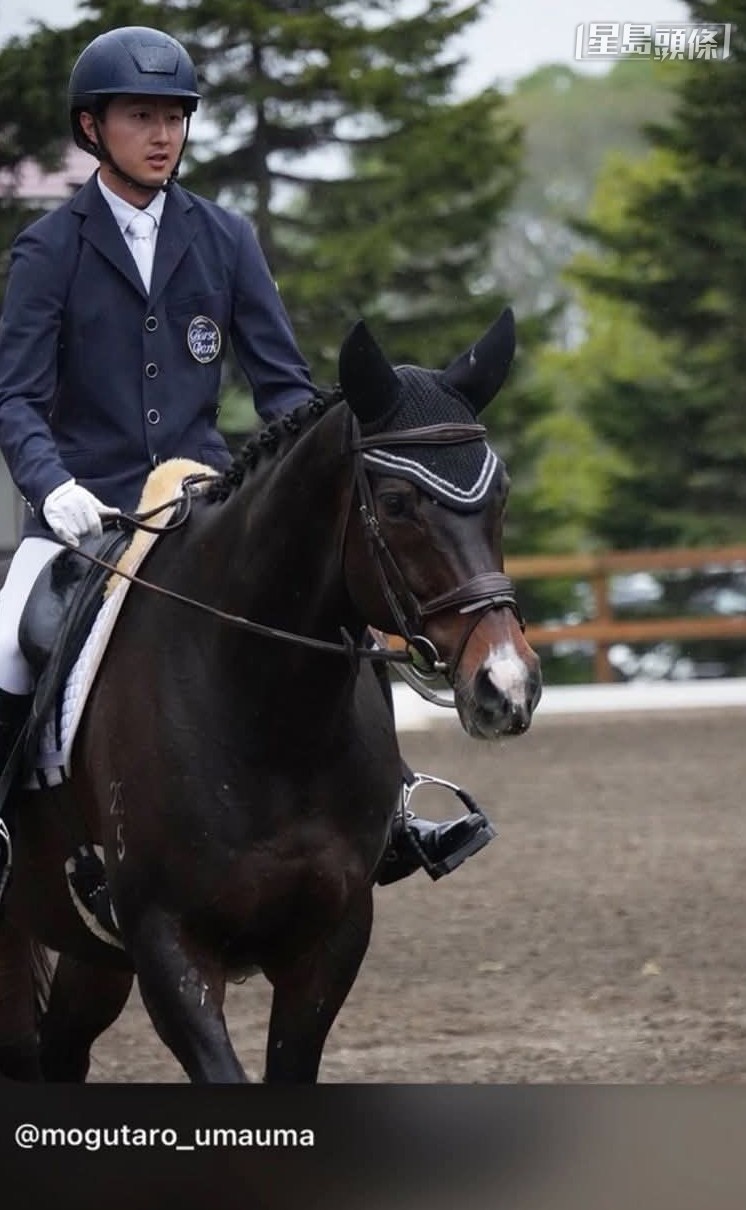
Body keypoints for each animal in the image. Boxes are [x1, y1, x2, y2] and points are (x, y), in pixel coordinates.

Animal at [0, 309, 541, 1083]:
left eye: (499, 496)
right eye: (397, 503)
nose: (506, 685)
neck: (269, 718)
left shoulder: (330, 939)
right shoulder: (168, 944)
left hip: (88, 950)